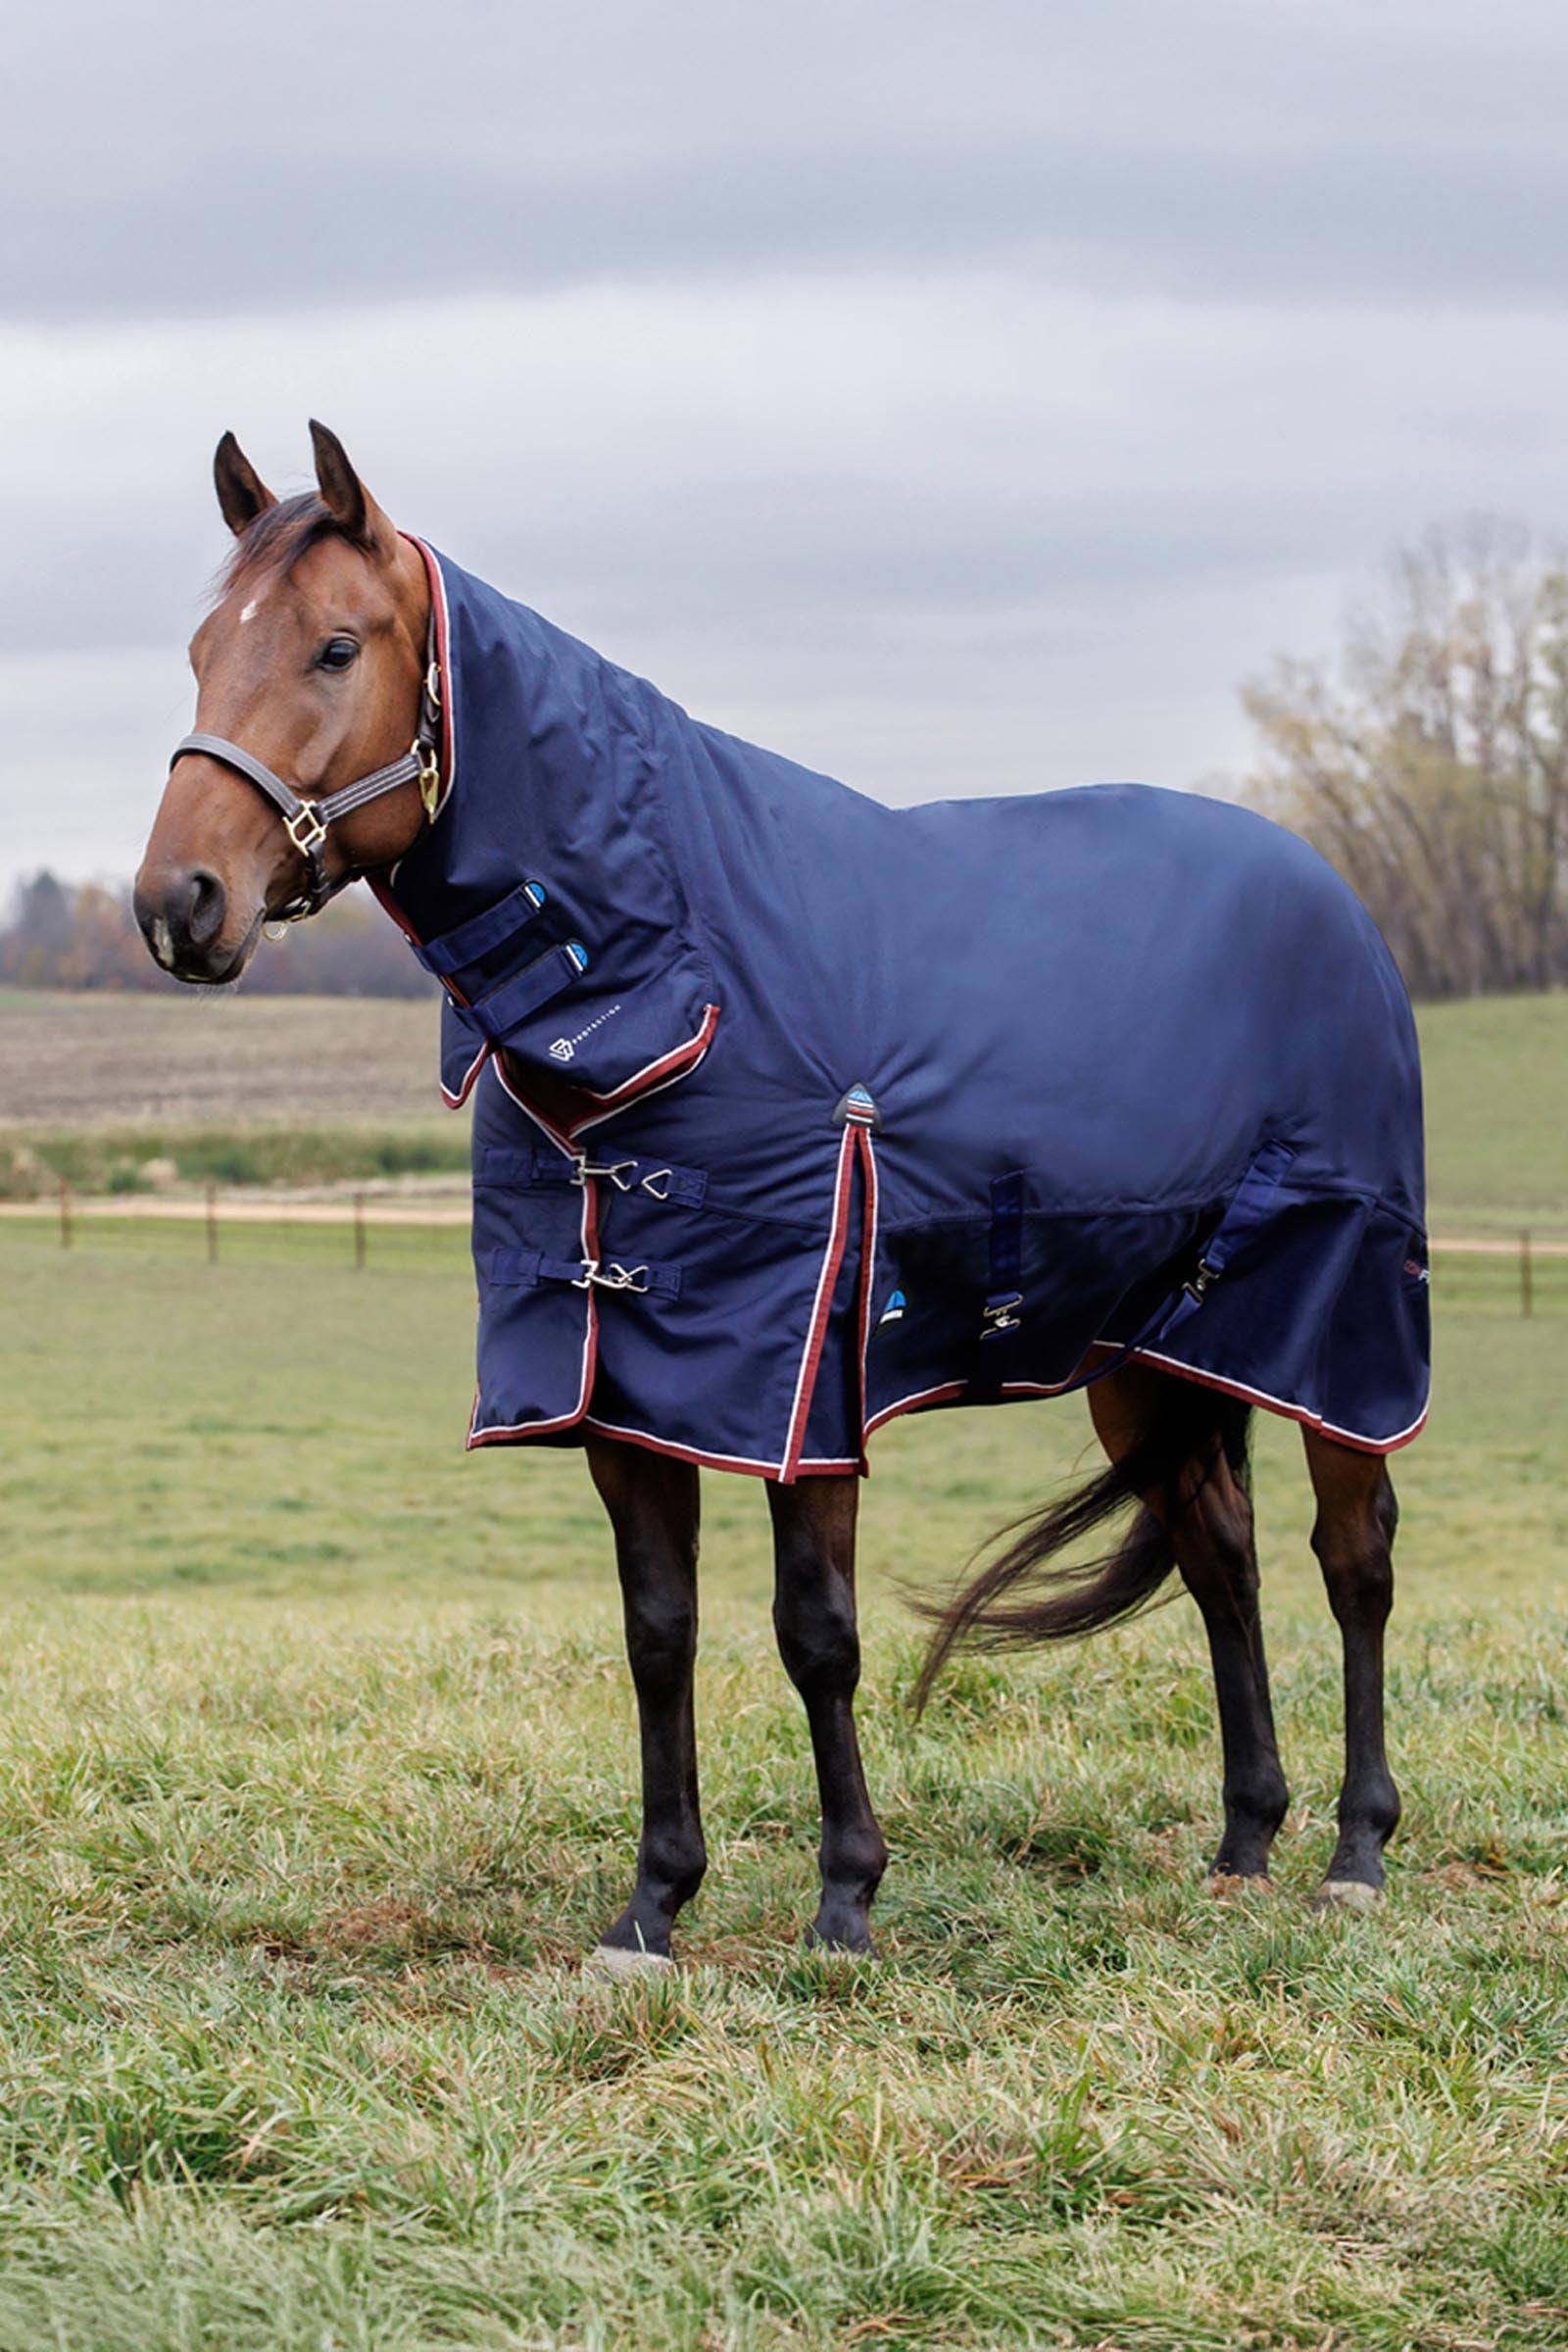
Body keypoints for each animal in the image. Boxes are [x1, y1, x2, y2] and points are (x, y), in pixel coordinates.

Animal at [134, 422, 1428, 1969]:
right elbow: (658, 1631)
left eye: (335, 646)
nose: (178, 902)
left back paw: (1356, 1853)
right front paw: (651, 1908)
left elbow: (817, 1632)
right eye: (200, 648)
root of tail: (1331, 895)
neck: (678, 980)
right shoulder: (624, 1391)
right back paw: (1242, 1845)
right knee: (1218, 1553)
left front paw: (846, 1901)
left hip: (1336, 1327)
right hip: (1151, 1346)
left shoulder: (800, 1387)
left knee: (1352, 1559)